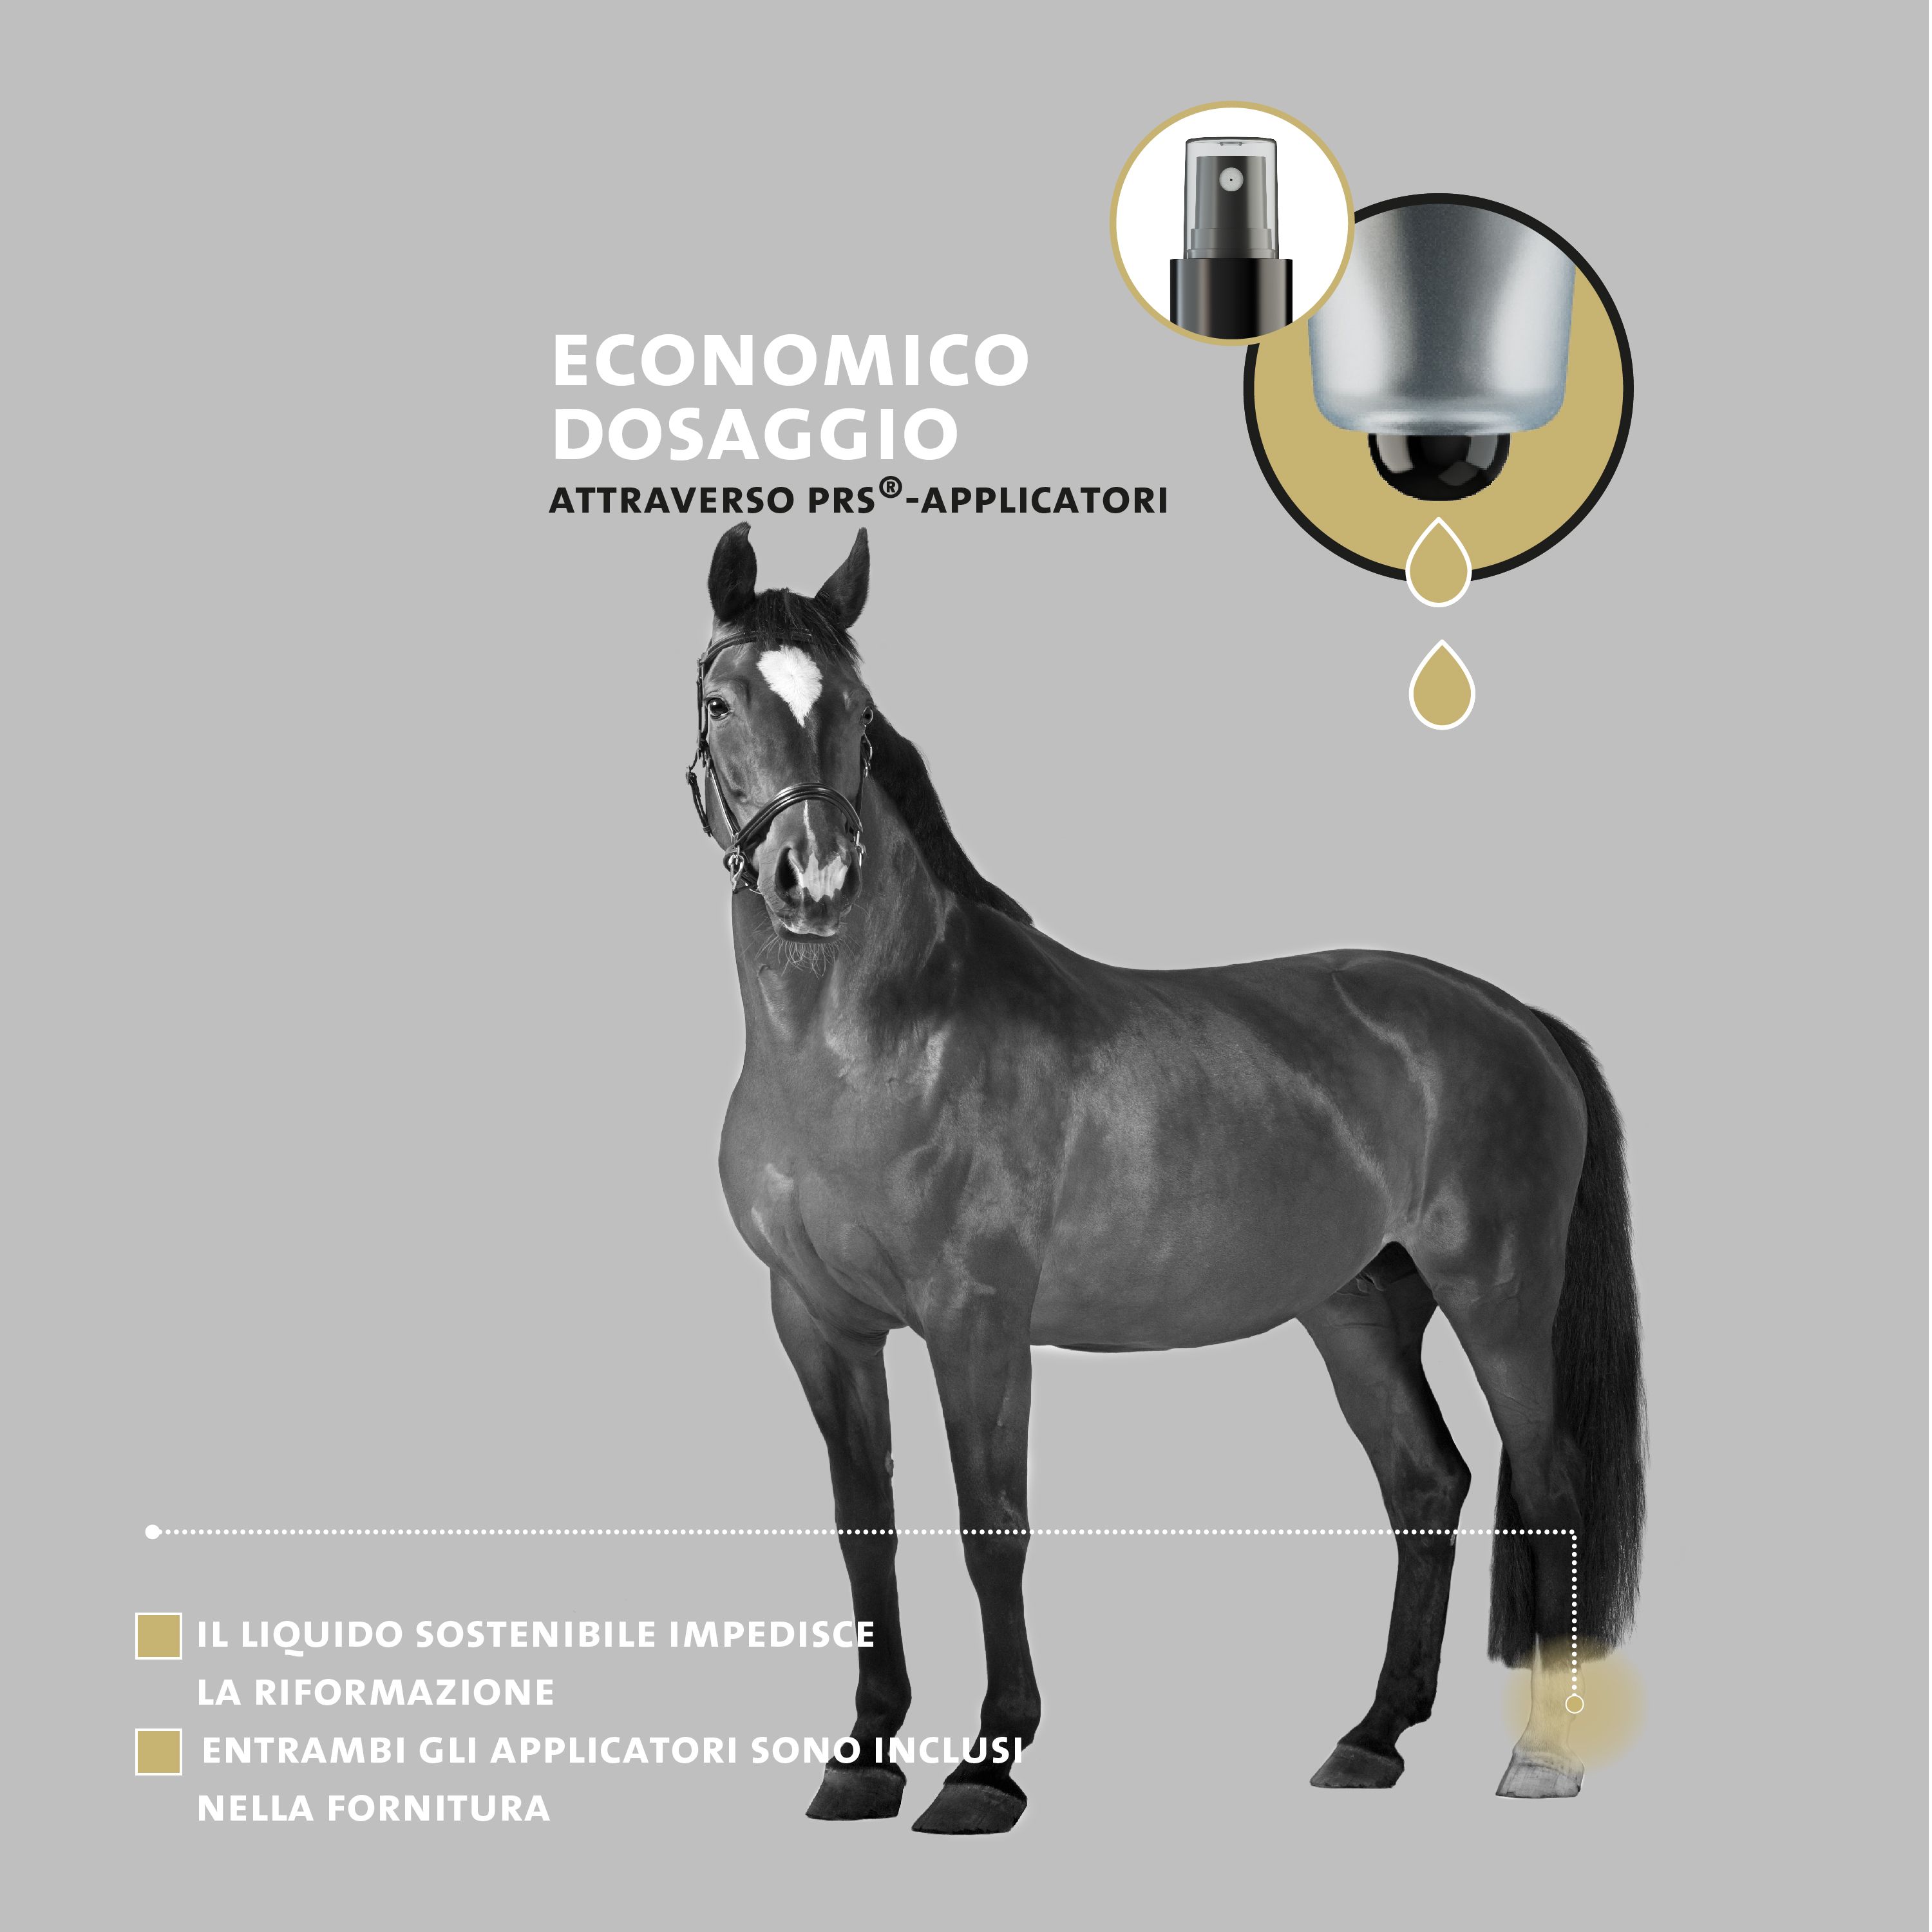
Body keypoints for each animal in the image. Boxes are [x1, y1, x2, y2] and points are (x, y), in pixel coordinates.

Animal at [687, 523, 1644, 1834]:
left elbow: (993, 1526)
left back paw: (1540, 1758)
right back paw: (1371, 1739)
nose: (814, 878)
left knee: (1545, 1482)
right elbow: (862, 1533)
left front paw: (988, 1769)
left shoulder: (977, 1321)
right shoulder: (818, 1322)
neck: (874, 1039)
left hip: (1498, 1296)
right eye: (720, 699)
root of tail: (1512, 1016)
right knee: (1426, 1484)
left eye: (859, 710)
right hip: (1358, 1307)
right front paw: (861, 1761)